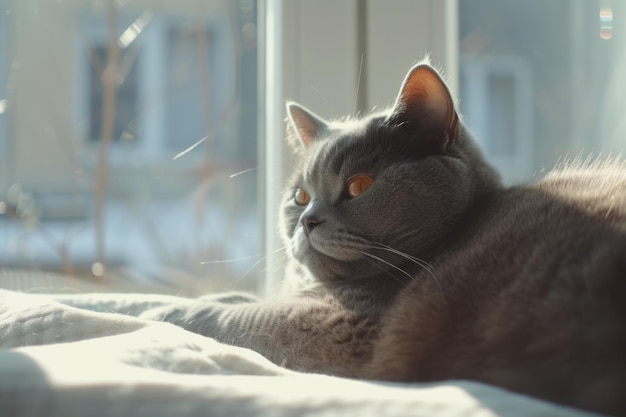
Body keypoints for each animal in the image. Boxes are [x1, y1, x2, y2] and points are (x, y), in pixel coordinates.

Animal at [141, 60, 624, 414]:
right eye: (300, 196)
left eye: (359, 186)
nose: (307, 220)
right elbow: (237, 299)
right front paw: (171, 300)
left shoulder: (346, 326)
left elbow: (235, 316)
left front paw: (162, 310)